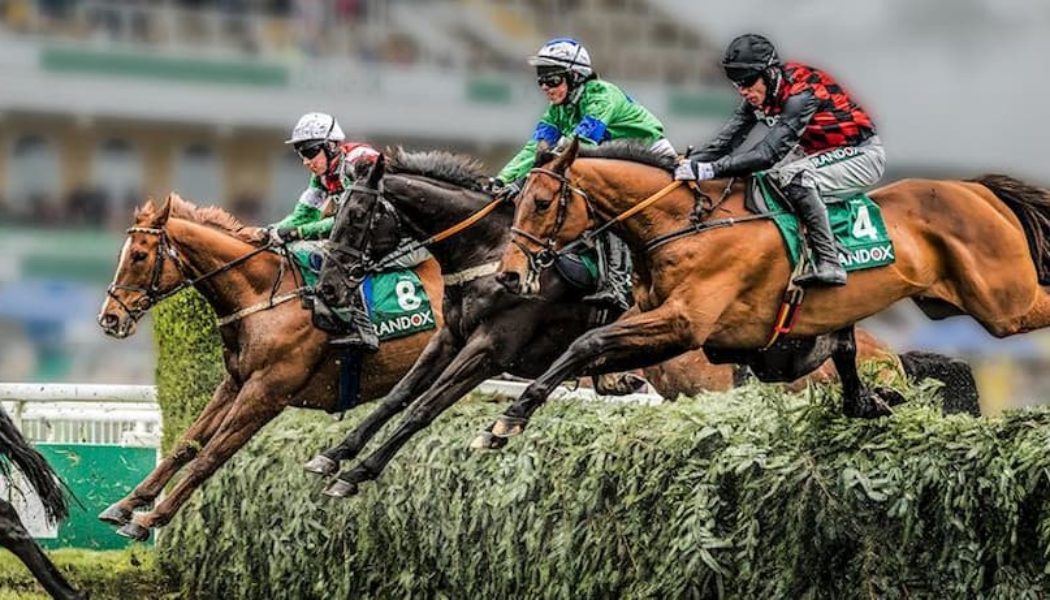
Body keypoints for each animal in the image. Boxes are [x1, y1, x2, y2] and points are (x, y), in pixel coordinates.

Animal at [95, 193, 443, 541]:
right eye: (121, 254)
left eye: (139, 256)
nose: (109, 318)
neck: (264, 297)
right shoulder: (235, 384)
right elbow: (187, 444)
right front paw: (126, 505)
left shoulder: (266, 394)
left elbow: (211, 456)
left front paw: (149, 519)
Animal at [303, 149, 977, 498]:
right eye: (332, 214)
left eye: (357, 216)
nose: (328, 289)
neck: (490, 250)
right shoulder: (450, 337)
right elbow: (396, 398)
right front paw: (333, 457)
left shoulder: (491, 349)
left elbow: (423, 408)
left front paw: (357, 473)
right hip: (773, 356)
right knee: (834, 347)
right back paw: (873, 399)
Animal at [482, 139, 1032, 445]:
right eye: (519, 200)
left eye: (543, 202)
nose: (509, 274)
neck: (682, 225)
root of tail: (974, 189)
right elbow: (584, 352)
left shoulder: (682, 326)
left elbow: (586, 343)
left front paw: (507, 420)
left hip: (1005, 300)